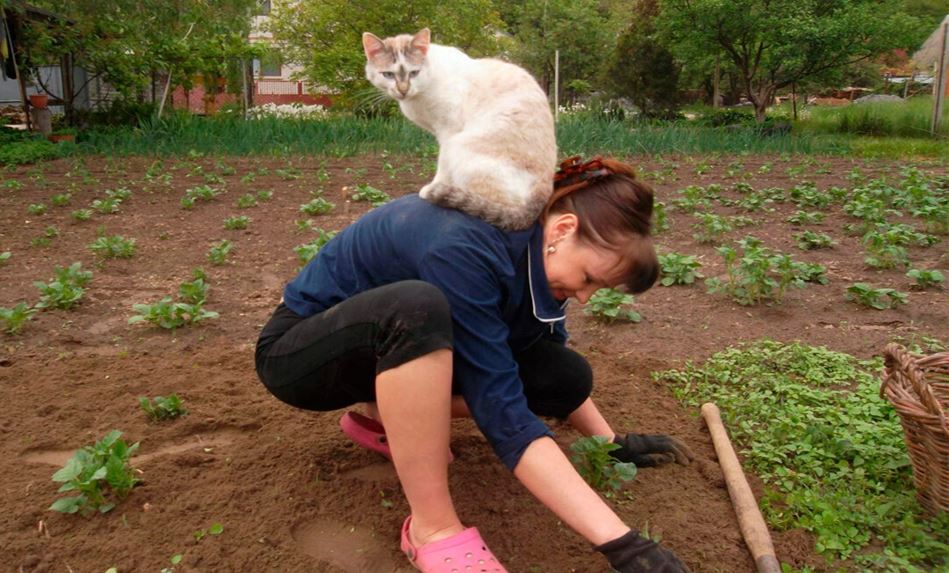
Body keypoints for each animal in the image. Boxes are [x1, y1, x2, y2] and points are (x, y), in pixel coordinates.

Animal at [362, 26, 556, 228]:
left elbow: (443, 165)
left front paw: (433, 187)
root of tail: (545, 190)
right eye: (388, 75)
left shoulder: (448, 132)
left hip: (461, 145)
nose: (403, 89)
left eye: (414, 73)